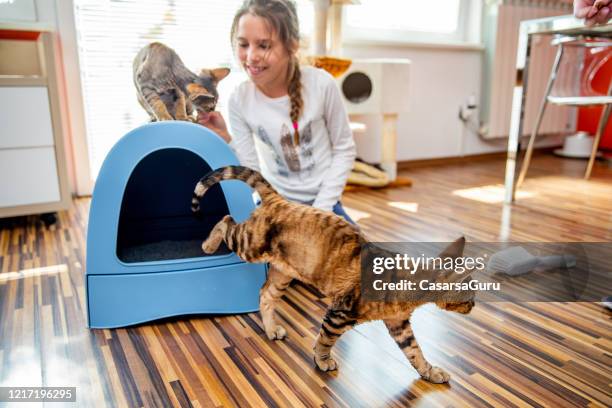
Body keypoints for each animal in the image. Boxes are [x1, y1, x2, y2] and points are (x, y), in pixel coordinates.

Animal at [190, 165, 474, 382]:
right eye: (470, 293)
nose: (473, 306)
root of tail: (278, 199)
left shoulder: (399, 325)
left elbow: (415, 352)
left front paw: (430, 372)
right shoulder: (339, 312)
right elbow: (325, 340)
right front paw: (322, 361)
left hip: (284, 272)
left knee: (266, 294)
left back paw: (271, 330)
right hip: (250, 244)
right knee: (226, 221)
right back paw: (208, 245)